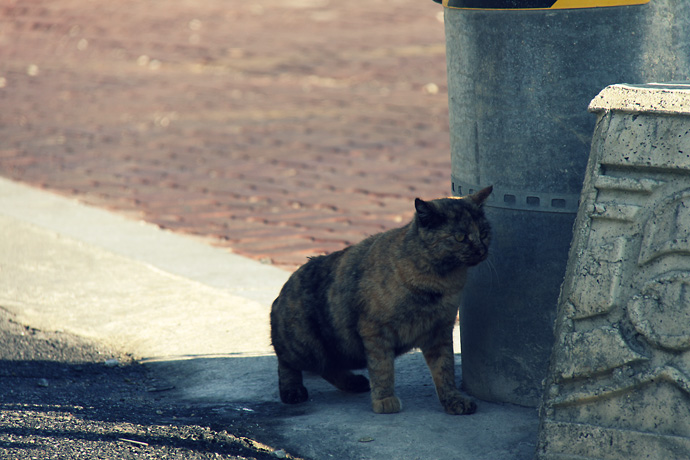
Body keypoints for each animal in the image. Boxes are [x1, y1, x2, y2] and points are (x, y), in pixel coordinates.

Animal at [268, 185, 490, 416]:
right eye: (460, 237)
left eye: (484, 233)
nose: (482, 250)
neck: (438, 283)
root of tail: (282, 292)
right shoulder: (375, 331)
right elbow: (382, 368)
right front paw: (385, 400)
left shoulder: (440, 332)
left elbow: (445, 369)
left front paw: (453, 400)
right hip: (306, 347)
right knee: (286, 362)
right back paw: (293, 390)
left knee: (328, 368)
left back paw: (353, 383)